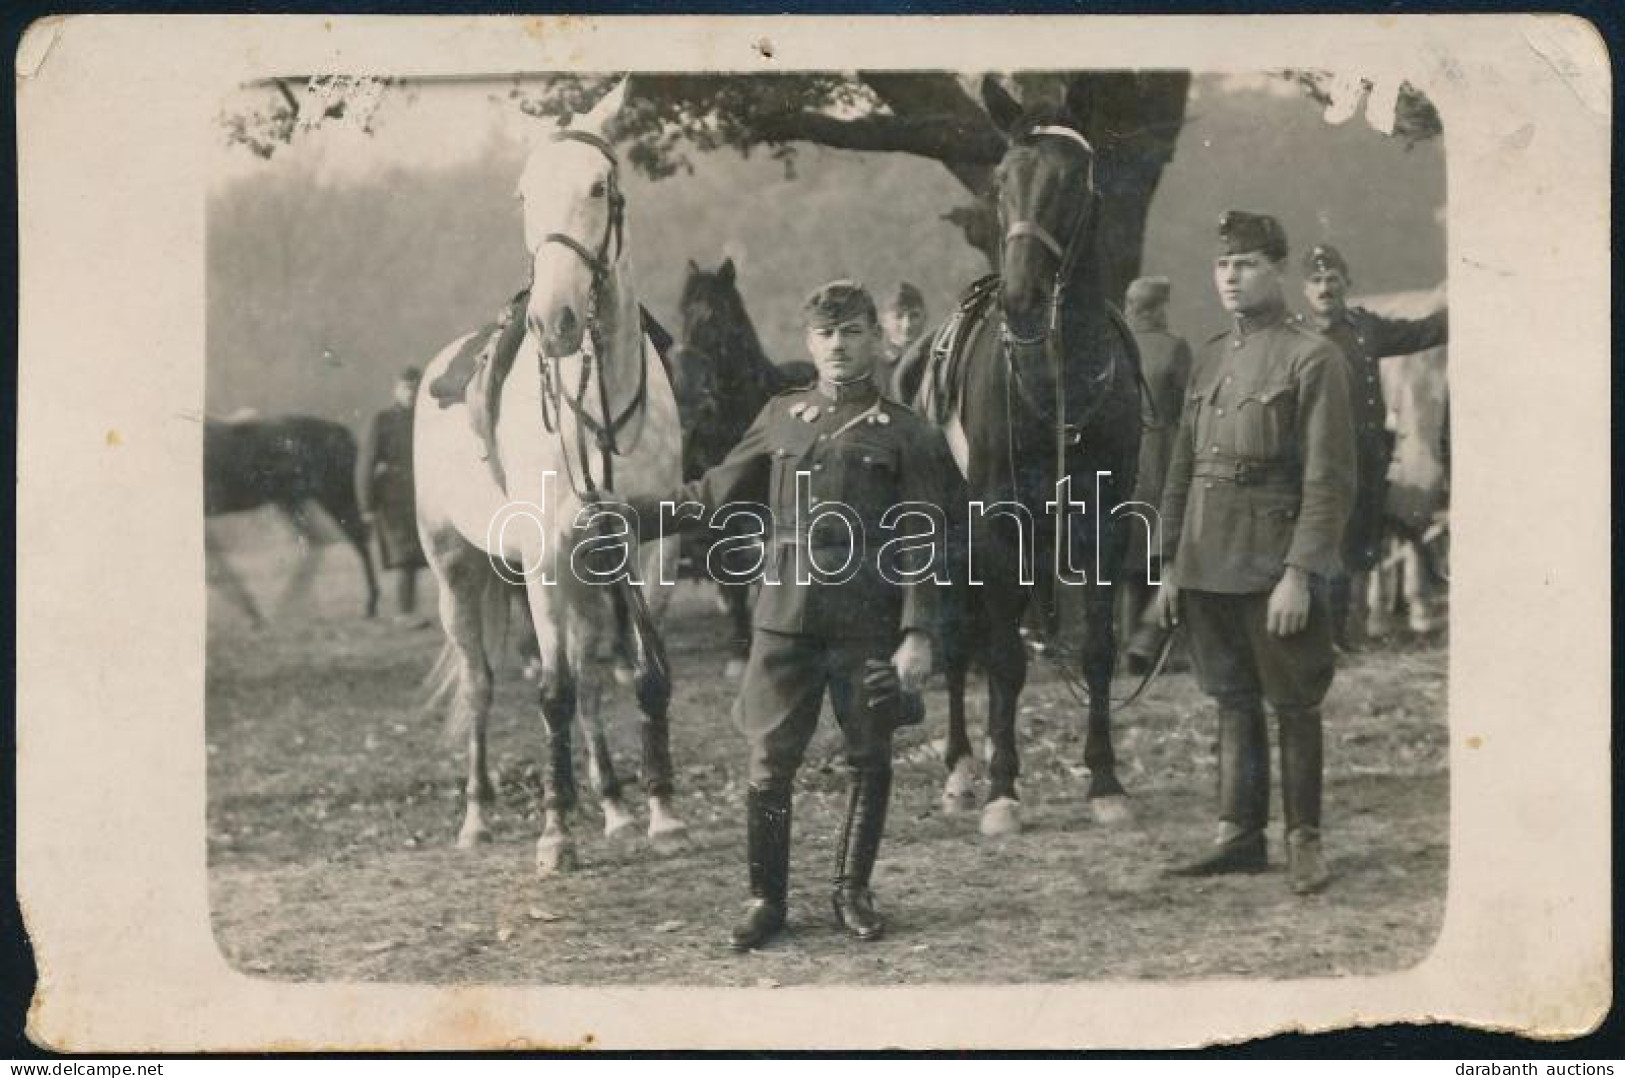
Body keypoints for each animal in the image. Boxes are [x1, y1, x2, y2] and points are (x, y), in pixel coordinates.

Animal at [412, 84, 685, 878]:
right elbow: (553, 692)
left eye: (599, 188)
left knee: (594, 678)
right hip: (457, 573)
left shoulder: (651, 548)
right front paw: (556, 834)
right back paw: (477, 817)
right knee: (482, 683)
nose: (554, 321)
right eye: (524, 194)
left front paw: (662, 814)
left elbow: (646, 675)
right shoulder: (544, 563)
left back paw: (617, 807)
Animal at [923, 84, 1150, 838]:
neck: (1058, 374)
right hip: (948, 538)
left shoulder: (1105, 522)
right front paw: (1001, 791)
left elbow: (1099, 649)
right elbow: (1001, 660)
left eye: (1073, 181)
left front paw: (1105, 780)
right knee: (958, 642)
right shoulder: (998, 524)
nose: (1021, 298)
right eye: (1001, 182)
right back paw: (962, 772)